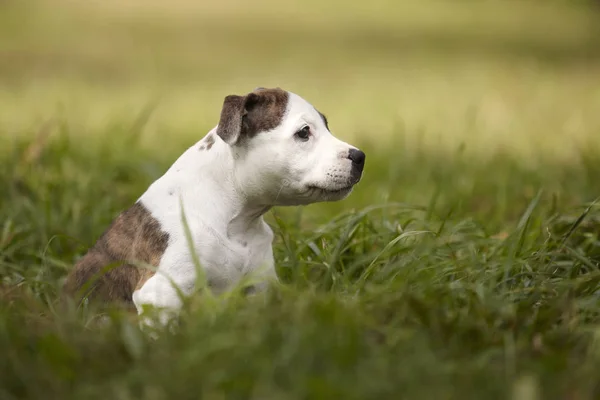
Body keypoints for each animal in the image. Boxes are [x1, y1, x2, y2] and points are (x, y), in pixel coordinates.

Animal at [64, 86, 366, 322]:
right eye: (304, 132)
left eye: (326, 126)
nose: (360, 156)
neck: (238, 220)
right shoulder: (160, 295)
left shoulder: (259, 289)